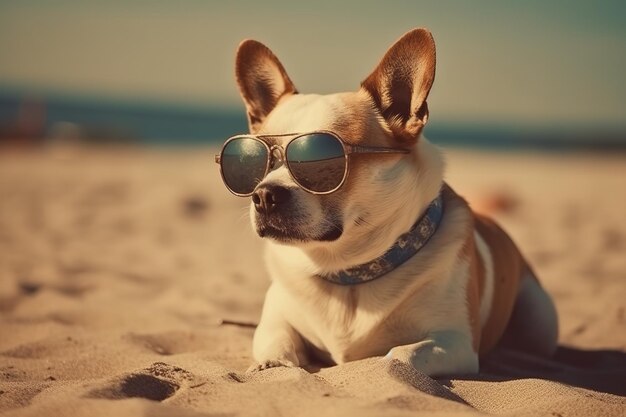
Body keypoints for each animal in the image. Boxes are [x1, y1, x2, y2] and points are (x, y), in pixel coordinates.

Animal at [222, 27, 560, 376]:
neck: (348, 274)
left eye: (321, 160)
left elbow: (400, 357)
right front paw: (271, 365)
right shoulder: (275, 323)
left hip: (539, 321)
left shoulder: (456, 342)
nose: (263, 194)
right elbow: (276, 352)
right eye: (251, 160)